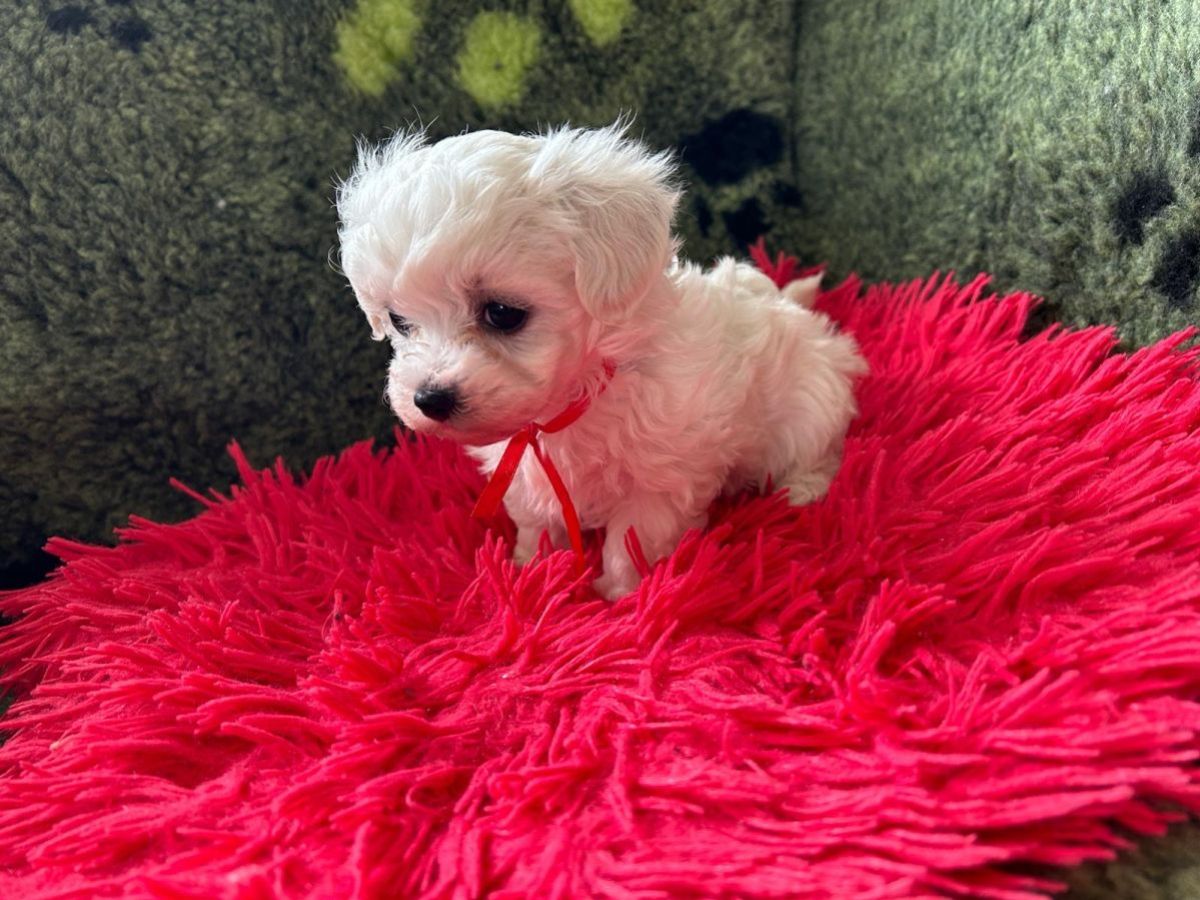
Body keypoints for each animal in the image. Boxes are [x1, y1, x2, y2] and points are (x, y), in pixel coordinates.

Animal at [336, 122, 867, 599]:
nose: (430, 398)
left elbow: (630, 539)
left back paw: (801, 490)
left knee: (818, 450)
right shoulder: (526, 472)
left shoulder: (657, 481)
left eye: (503, 313)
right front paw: (530, 568)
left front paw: (619, 596)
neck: (578, 397)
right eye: (398, 320)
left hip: (811, 404)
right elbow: (535, 520)